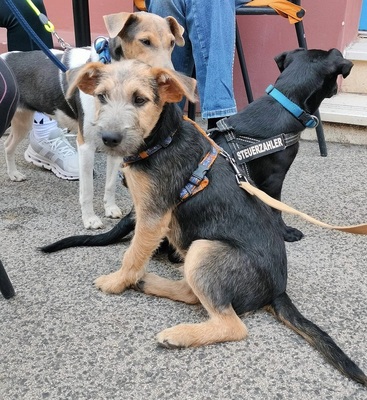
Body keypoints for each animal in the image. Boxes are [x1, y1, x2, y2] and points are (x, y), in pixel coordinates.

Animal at [0, 11, 184, 228]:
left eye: (172, 43)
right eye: (145, 41)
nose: (170, 80)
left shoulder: (116, 143)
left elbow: (110, 184)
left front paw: (110, 209)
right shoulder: (86, 145)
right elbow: (87, 190)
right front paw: (89, 219)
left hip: (23, 120)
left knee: (8, 146)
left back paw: (13, 174)